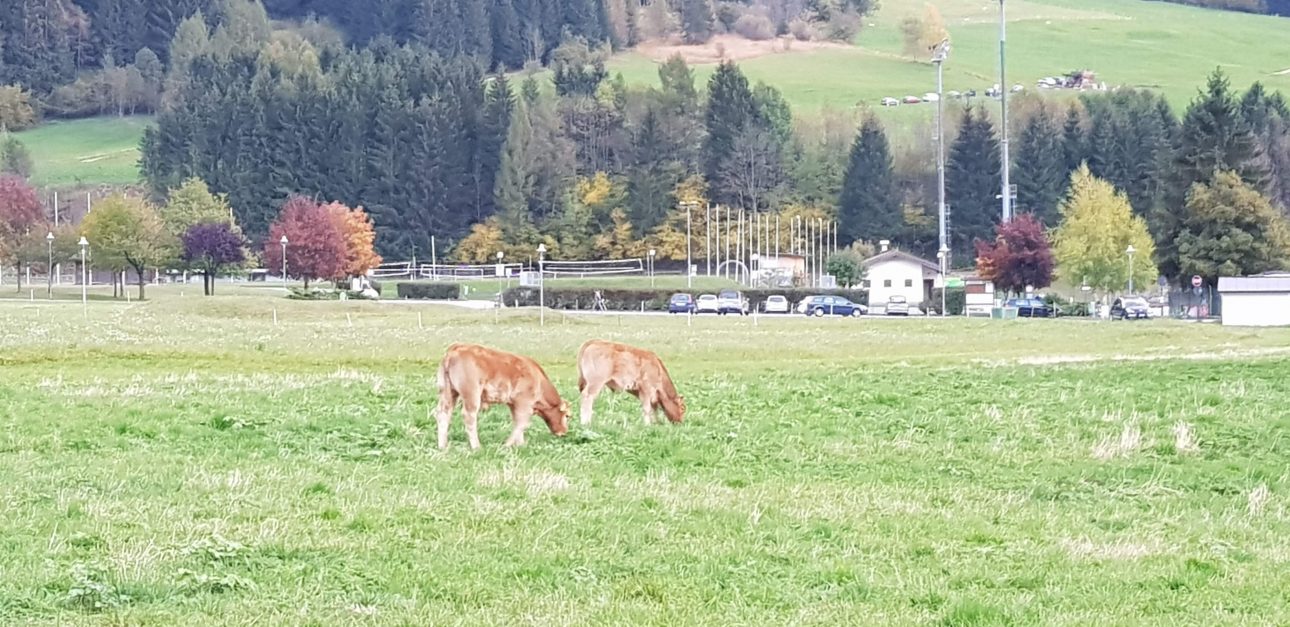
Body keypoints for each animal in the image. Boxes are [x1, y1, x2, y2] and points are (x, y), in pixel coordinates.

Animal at [438, 343, 570, 451]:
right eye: (567, 416)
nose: (564, 432)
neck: (539, 379)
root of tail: (455, 348)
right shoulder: (525, 403)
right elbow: (522, 423)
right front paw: (507, 445)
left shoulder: (514, 404)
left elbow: (517, 421)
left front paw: (520, 444)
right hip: (471, 394)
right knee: (469, 416)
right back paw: (476, 447)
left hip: (448, 392)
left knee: (443, 413)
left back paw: (442, 446)